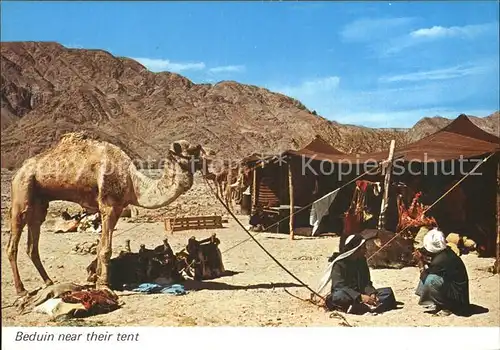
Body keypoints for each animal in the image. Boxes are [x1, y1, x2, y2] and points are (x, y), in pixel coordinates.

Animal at [7, 131, 205, 296]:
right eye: (193, 150)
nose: (207, 157)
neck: (133, 183)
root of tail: (18, 172)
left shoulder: (117, 208)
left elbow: (101, 247)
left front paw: (97, 280)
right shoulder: (108, 207)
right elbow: (106, 249)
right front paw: (104, 285)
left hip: (39, 202)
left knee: (32, 243)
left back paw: (49, 282)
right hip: (22, 191)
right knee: (13, 241)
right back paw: (21, 291)